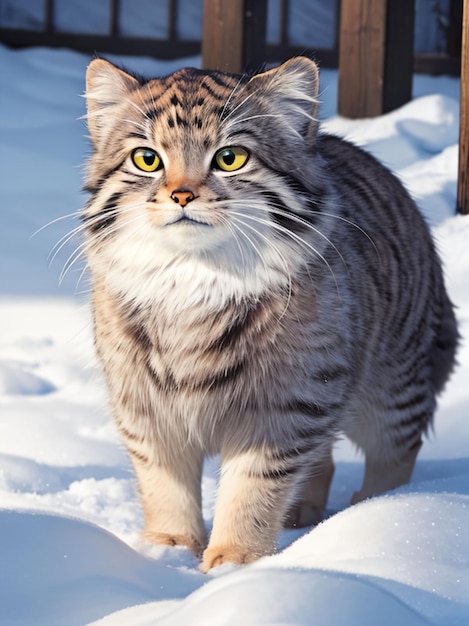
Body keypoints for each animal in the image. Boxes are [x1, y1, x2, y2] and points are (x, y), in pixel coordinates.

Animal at [81, 56, 458, 568]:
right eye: (148, 159)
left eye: (229, 158)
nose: (181, 194)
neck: (195, 282)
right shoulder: (144, 404)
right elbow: (163, 485)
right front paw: (167, 549)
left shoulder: (287, 403)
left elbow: (252, 490)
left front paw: (234, 559)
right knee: (325, 460)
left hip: (390, 392)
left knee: (396, 452)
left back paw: (379, 513)